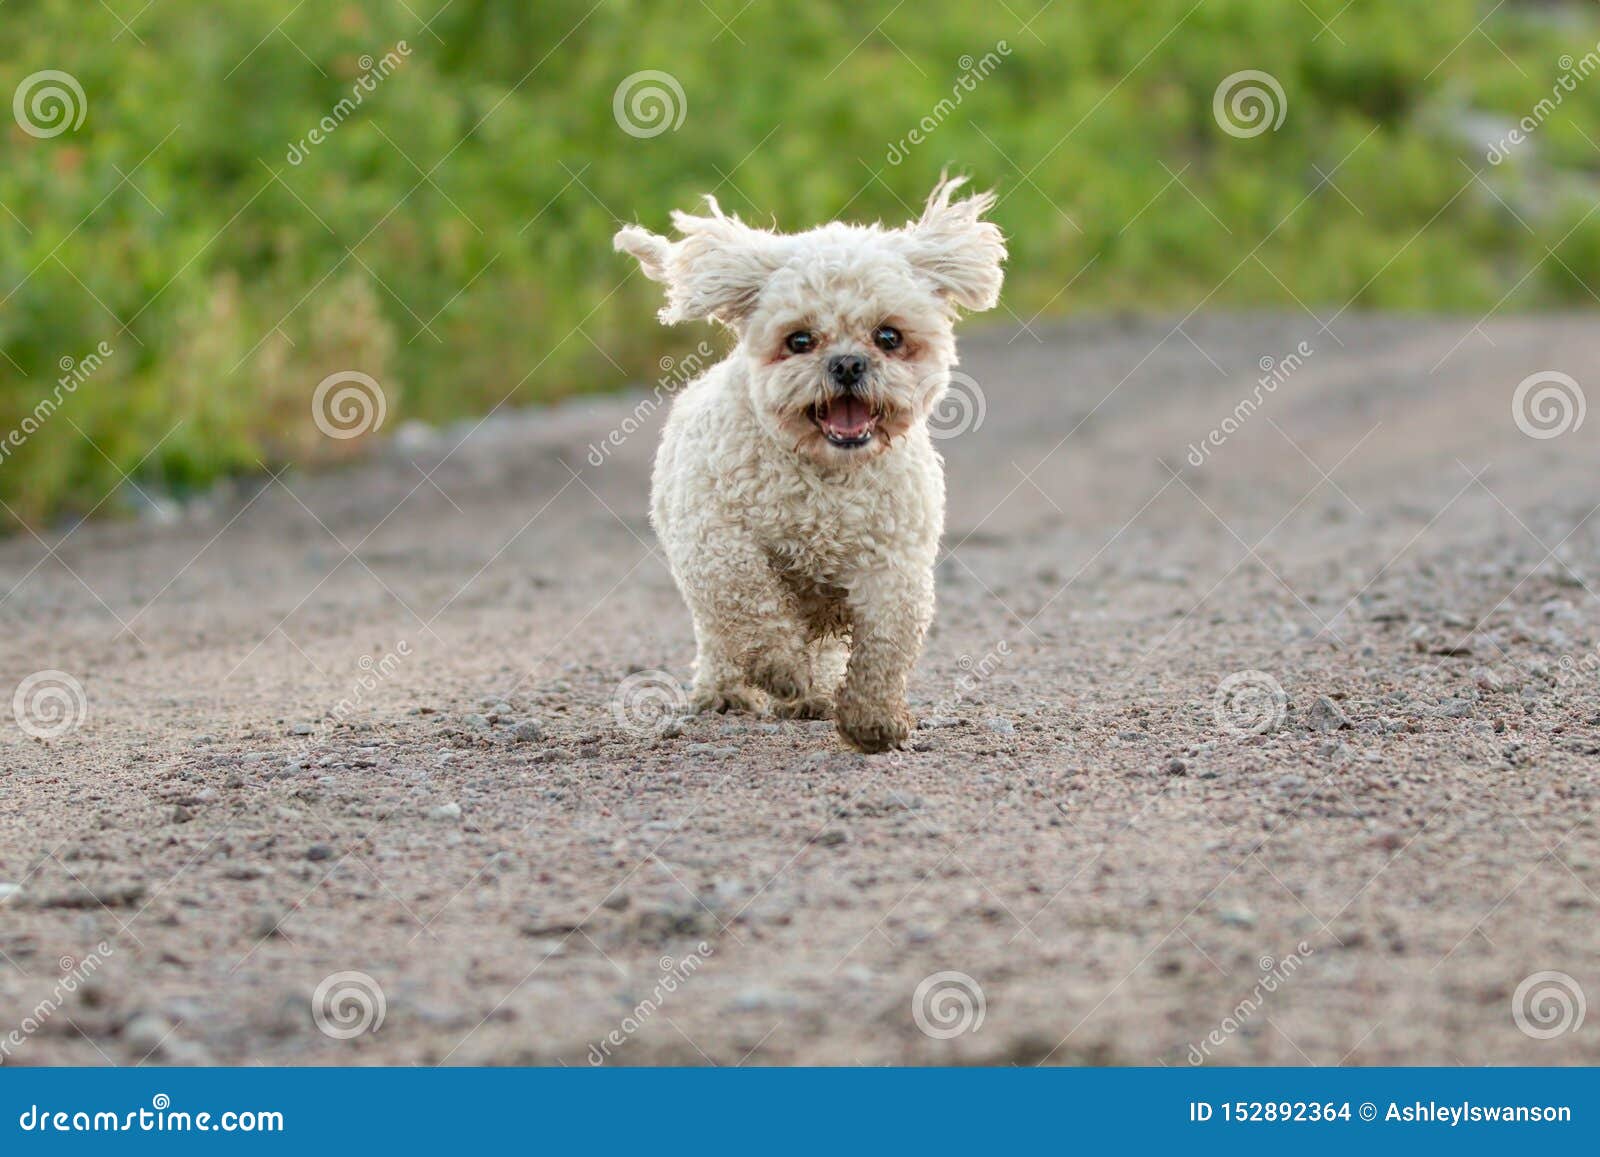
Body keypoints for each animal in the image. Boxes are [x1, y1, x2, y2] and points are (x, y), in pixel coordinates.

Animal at [611, 172, 998, 752]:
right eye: (799, 339)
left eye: (888, 336)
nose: (848, 363)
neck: (825, 475)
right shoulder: (717, 543)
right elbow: (752, 602)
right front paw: (781, 669)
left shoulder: (893, 563)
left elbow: (885, 644)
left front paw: (873, 719)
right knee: (721, 636)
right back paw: (729, 691)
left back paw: (813, 696)